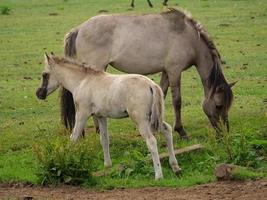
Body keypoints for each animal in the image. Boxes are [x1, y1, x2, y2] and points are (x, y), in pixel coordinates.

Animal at [36, 53, 182, 180]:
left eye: (44, 74)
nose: (39, 93)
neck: (83, 81)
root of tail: (151, 85)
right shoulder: (101, 117)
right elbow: (104, 140)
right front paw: (107, 166)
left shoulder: (82, 114)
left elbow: (74, 137)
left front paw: (67, 161)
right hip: (154, 118)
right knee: (167, 130)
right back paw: (175, 167)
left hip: (140, 120)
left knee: (151, 141)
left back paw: (159, 175)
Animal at [61, 8, 237, 139]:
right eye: (219, 105)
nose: (224, 132)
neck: (188, 37)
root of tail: (79, 29)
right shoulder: (174, 71)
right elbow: (177, 101)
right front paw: (181, 131)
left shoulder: (166, 72)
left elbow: (162, 96)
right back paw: (98, 131)